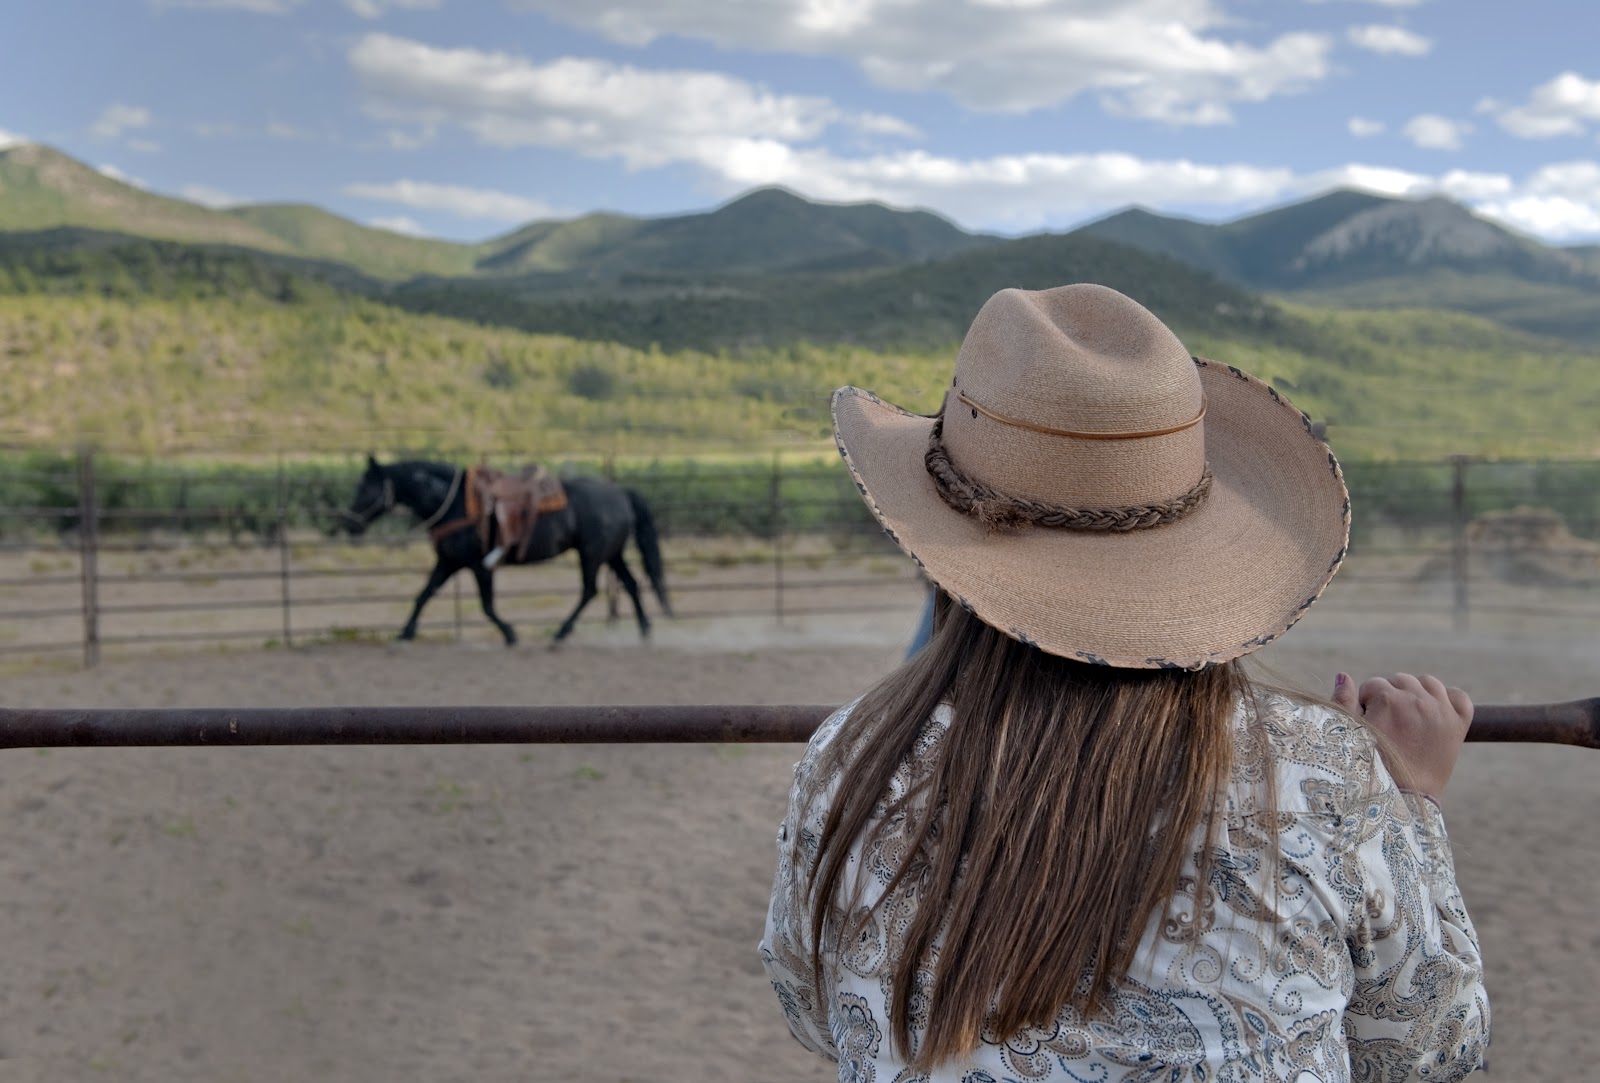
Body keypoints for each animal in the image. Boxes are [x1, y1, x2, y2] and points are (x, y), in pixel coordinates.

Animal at [341, 455, 671, 646]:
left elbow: (487, 605)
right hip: (611, 554)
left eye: (364, 487)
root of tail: (620, 493)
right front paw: (405, 632)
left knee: (589, 590)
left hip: (591, 554)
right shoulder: (448, 562)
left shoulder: (478, 565)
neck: (455, 503)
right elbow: (424, 594)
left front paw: (510, 634)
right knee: (630, 584)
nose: (349, 523)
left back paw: (561, 633)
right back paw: (645, 631)